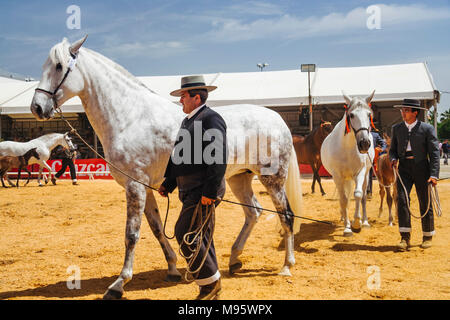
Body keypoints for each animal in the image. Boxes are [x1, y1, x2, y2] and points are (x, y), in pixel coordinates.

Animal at [28, 36, 302, 298]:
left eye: (59, 66)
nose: (37, 107)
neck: (130, 117)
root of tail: (278, 119)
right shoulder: (146, 188)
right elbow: (157, 229)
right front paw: (171, 268)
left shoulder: (135, 186)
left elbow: (131, 235)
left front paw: (118, 284)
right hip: (239, 178)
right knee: (253, 212)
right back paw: (234, 259)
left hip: (272, 179)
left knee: (286, 216)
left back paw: (286, 266)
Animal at [320, 91, 376, 236]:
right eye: (351, 115)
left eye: (369, 114)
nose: (364, 143)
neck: (348, 147)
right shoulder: (337, 176)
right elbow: (344, 199)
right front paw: (347, 228)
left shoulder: (360, 172)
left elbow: (358, 195)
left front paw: (356, 223)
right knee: (344, 197)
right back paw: (343, 217)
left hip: (366, 175)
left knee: (362, 196)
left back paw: (365, 222)